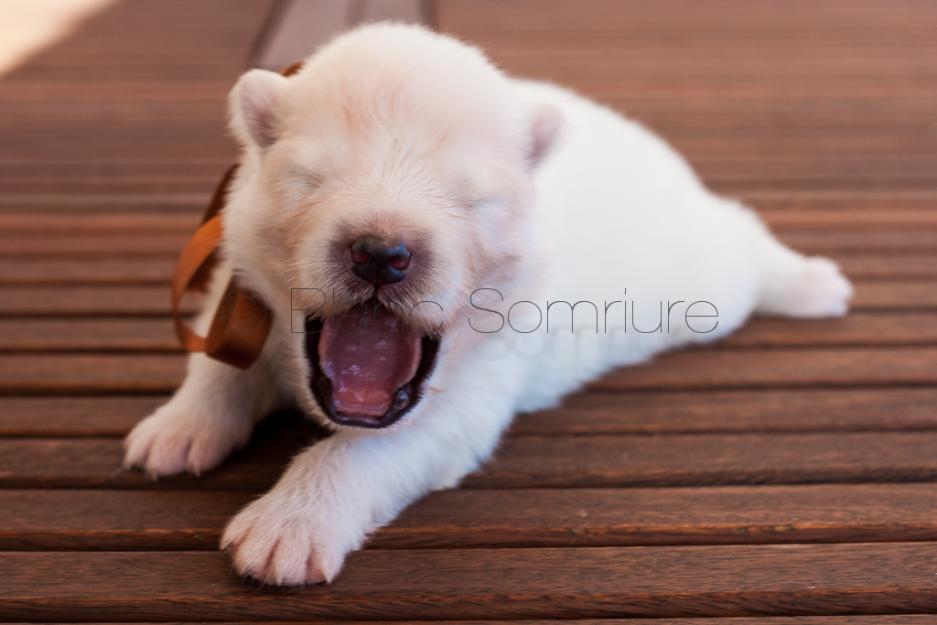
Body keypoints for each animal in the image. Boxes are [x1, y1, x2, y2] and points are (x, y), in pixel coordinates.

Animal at [120, 24, 852, 584]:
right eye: (312, 179)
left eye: (473, 200)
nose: (381, 252)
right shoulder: (239, 279)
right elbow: (219, 365)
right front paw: (178, 426)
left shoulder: (471, 394)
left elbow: (357, 452)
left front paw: (288, 525)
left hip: (704, 274)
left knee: (743, 237)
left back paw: (814, 283)